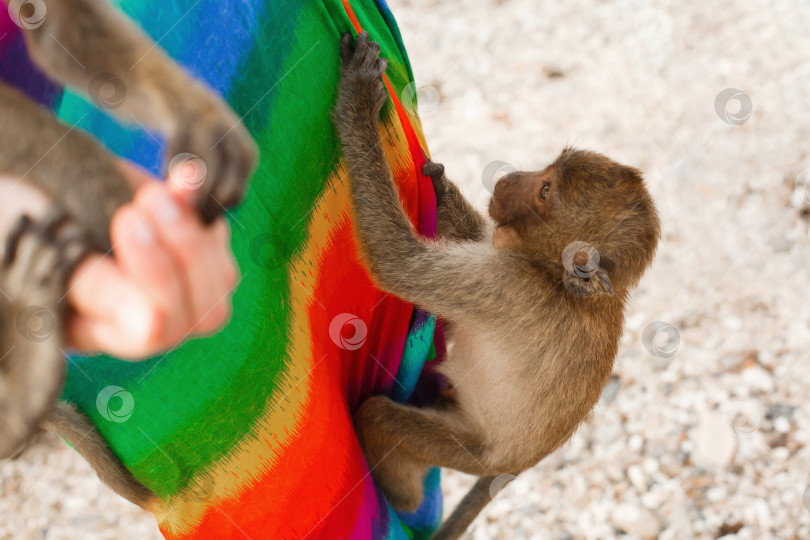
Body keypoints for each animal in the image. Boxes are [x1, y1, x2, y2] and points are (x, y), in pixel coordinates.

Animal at [332, 31, 660, 536]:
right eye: (546, 173)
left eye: (544, 192)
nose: (508, 179)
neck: (560, 282)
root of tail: (517, 466)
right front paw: (440, 186)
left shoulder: (508, 286)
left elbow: (396, 263)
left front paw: (360, 101)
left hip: (469, 450)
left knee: (380, 420)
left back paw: (402, 502)